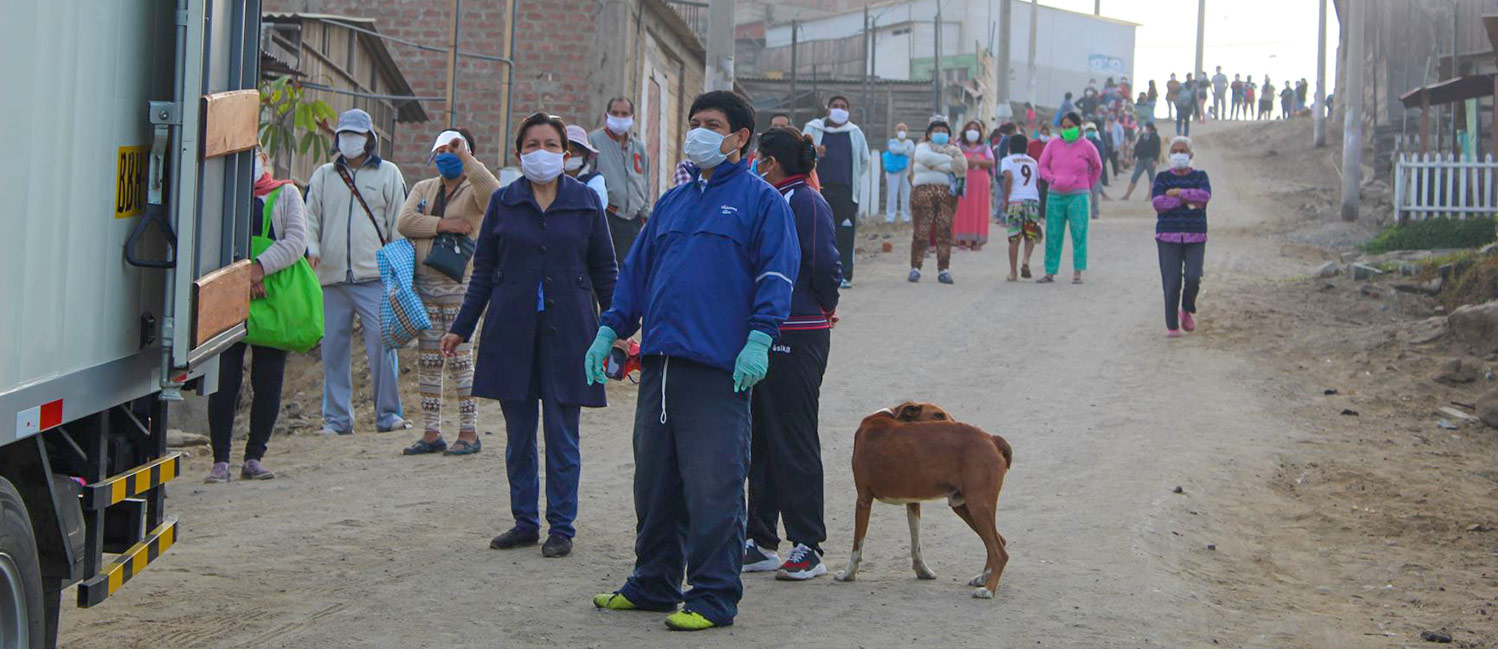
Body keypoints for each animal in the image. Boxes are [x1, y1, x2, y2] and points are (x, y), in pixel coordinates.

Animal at [838, 398, 1012, 596]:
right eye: (938, 415)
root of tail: (992, 439)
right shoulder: (913, 502)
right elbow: (916, 543)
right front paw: (923, 571)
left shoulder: (863, 500)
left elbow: (856, 546)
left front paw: (847, 574)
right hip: (964, 506)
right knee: (999, 543)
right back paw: (983, 579)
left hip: (978, 506)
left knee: (1000, 552)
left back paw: (988, 590)